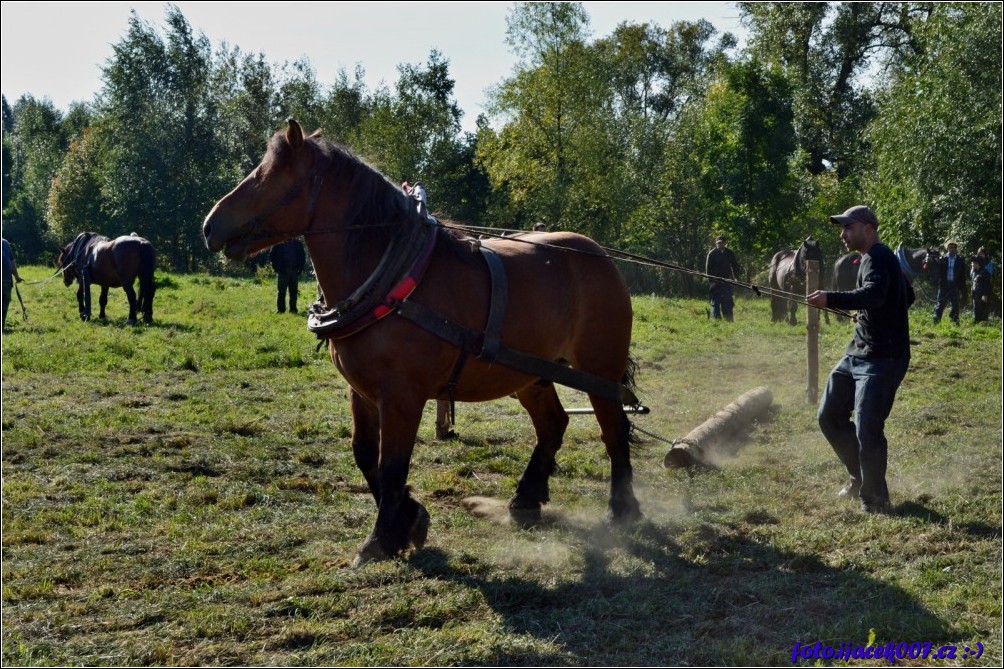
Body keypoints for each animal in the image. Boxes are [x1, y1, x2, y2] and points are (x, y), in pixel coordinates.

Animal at [201, 118, 642, 562]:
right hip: (530, 374)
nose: (209, 225)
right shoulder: (361, 391)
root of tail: (599, 257)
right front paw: (409, 520)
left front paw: (380, 539)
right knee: (553, 424)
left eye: (271, 173)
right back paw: (526, 499)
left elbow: (393, 464)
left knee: (614, 428)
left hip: (599, 369)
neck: (392, 280)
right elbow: (365, 454)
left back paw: (622, 511)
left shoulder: (402, 395)